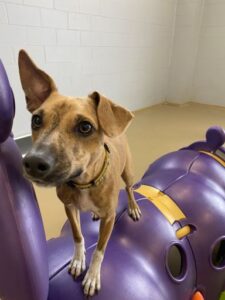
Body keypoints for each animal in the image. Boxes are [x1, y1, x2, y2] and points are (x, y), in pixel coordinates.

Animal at [18, 50, 141, 296]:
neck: (84, 182)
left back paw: (133, 206)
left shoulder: (109, 218)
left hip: (128, 172)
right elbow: (77, 235)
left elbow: (100, 251)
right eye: (36, 119)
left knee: (130, 188)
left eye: (85, 127)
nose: (33, 162)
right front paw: (76, 260)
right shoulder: (69, 207)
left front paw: (92, 276)